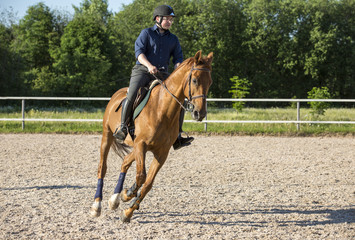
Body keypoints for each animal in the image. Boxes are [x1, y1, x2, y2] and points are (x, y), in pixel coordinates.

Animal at [89, 50, 214, 223]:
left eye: (210, 82)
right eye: (194, 80)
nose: (199, 113)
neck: (161, 110)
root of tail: (118, 93)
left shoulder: (161, 153)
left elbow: (148, 183)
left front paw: (128, 208)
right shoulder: (141, 144)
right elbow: (141, 176)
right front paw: (128, 195)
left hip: (136, 147)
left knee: (125, 162)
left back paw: (115, 199)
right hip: (107, 136)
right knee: (103, 168)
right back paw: (96, 206)